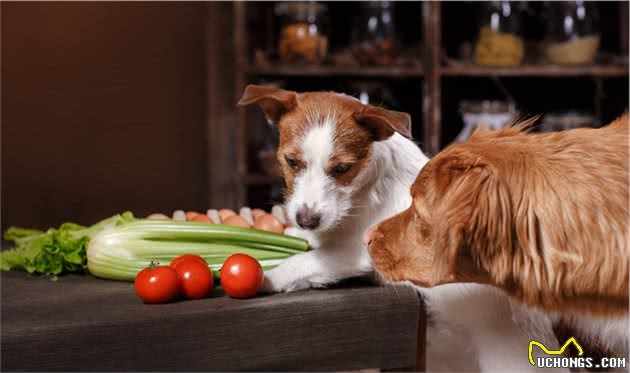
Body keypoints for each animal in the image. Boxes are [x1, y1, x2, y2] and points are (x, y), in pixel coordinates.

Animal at [239, 85, 560, 370]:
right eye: (292, 161)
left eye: (342, 169)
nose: (306, 220)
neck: (364, 191)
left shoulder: (358, 253)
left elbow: (303, 262)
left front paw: (267, 275)